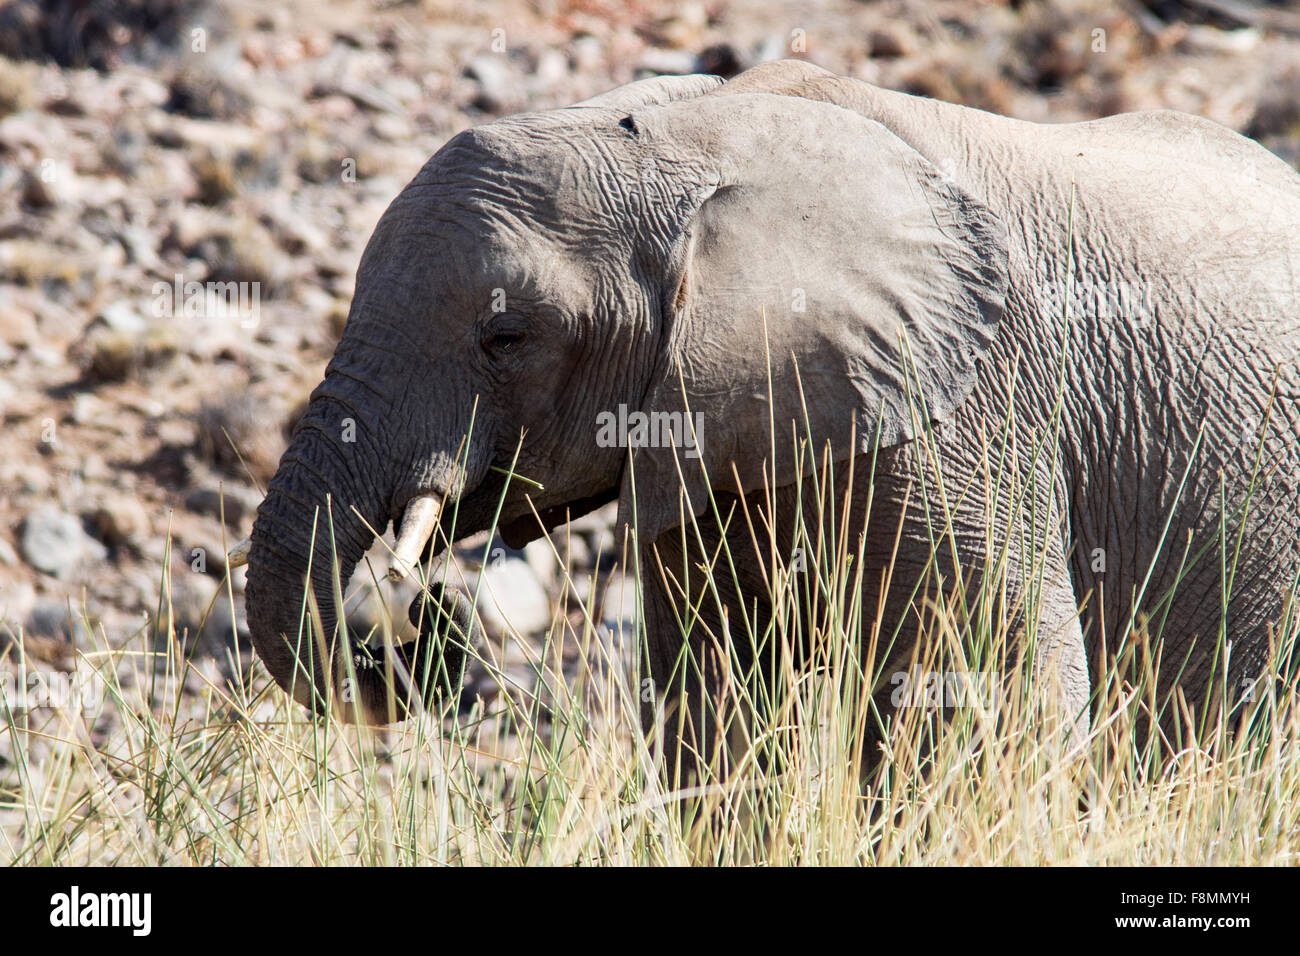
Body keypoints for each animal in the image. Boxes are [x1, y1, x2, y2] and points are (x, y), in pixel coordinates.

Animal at [233, 57, 1300, 780]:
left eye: (507, 336)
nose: (425, 626)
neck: (701, 134)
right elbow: (718, 710)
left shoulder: (969, 400)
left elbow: (1001, 696)